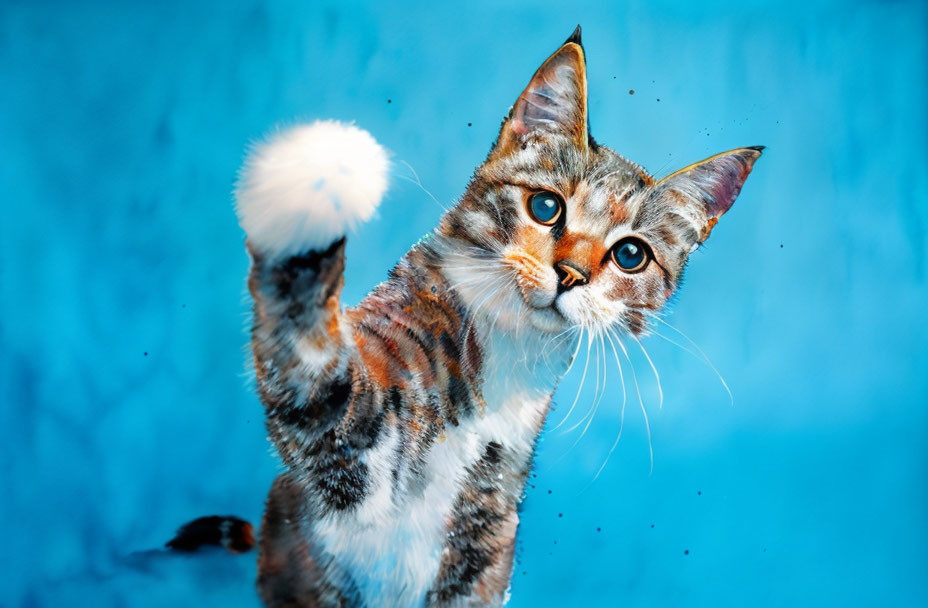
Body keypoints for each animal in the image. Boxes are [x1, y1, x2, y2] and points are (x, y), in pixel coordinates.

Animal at [179, 25, 760, 608]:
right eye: (546, 207)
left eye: (631, 255)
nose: (571, 273)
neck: (509, 349)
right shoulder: (359, 455)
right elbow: (320, 382)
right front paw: (313, 188)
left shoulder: (487, 517)